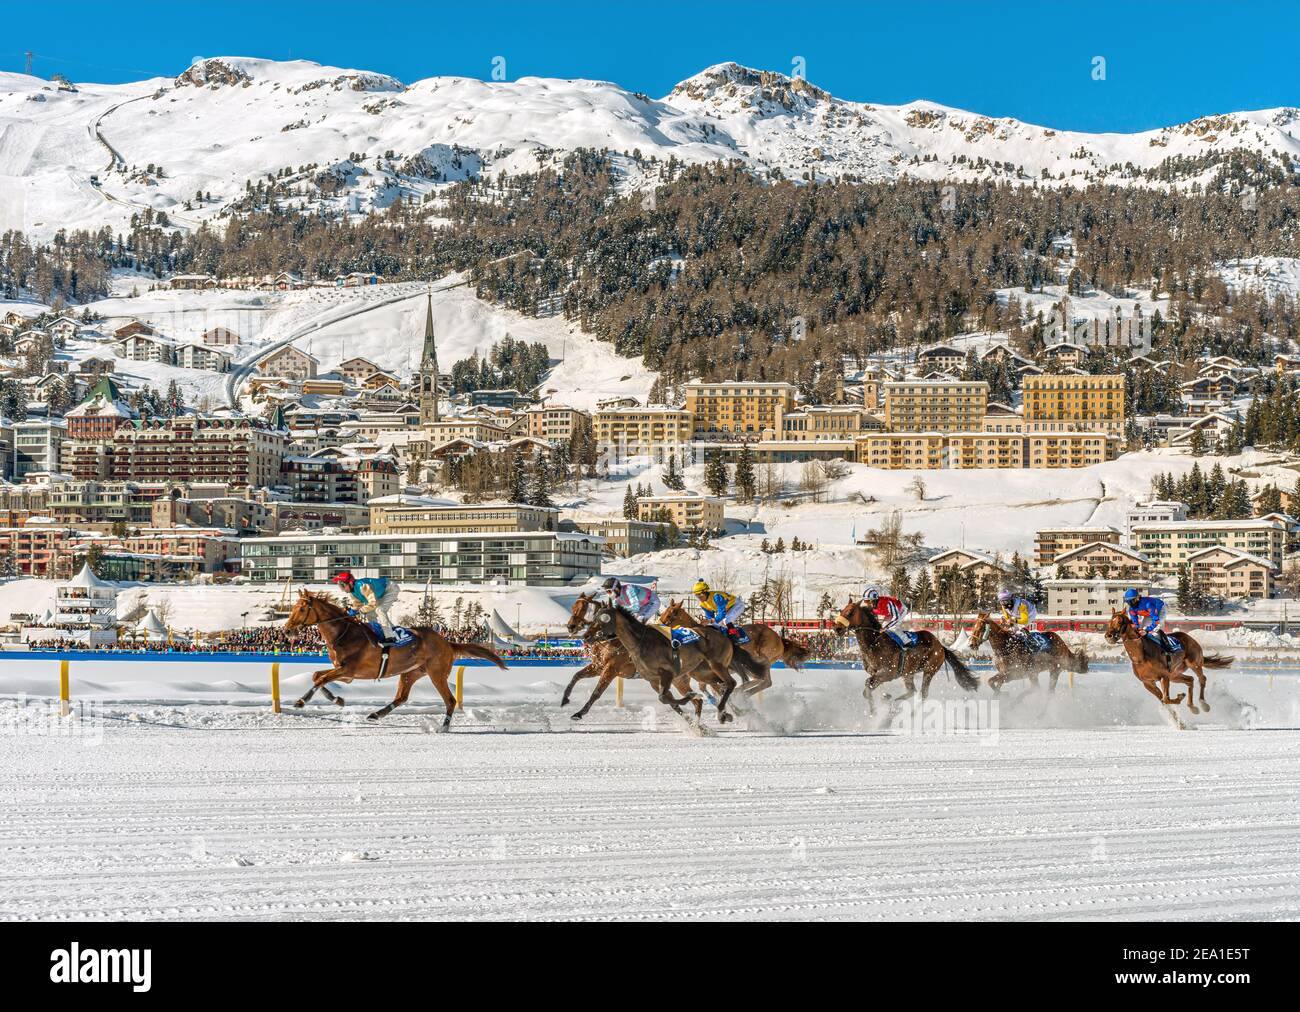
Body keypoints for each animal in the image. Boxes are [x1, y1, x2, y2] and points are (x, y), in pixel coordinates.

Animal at [282, 587, 504, 728]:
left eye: (302, 608)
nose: (286, 630)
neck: (344, 633)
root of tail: (447, 642)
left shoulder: (348, 670)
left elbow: (321, 678)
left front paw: (302, 701)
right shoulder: (346, 673)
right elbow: (317, 676)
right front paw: (337, 699)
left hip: (437, 673)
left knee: (450, 700)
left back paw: (444, 727)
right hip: (411, 673)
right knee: (401, 697)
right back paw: (375, 714)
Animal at [665, 595, 806, 692]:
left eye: (671, 614)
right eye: (664, 612)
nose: (660, 622)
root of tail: (779, 639)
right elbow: (704, 686)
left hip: (762, 657)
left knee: (765, 681)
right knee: (760, 680)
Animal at [832, 595, 977, 712]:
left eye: (850, 612)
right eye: (841, 610)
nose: (836, 628)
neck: (874, 643)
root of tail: (941, 646)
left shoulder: (888, 672)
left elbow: (868, 686)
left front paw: (876, 711)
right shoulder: (875, 673)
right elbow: (870, 688)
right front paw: (884, 699)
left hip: (929, 670)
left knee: (923, 694)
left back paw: (911, 714)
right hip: (908, 673)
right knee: (912, 691)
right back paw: (896, 706)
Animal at [1102, 603, 1232, 712]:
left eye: (1120, 621)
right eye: (1109, 621)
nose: (1109, 636)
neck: (1140, 657)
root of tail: (1190, 638)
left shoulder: (1164, 676)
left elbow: (1166, 699)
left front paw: (1180, 697)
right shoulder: (1147, 683)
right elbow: (1163, 700)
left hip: (1193, 663)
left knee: (1202, 679)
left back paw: (1203, 704)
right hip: (1174, 674)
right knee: (1190, 680)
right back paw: (1192, 706)